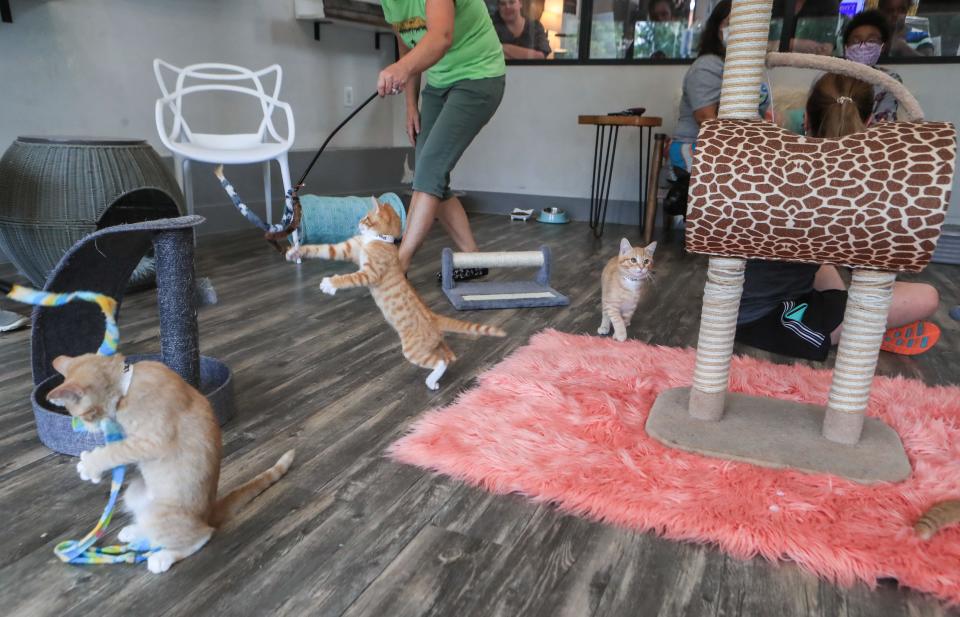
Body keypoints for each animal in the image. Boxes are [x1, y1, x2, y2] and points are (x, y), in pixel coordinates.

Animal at [47, 352, 294, 572]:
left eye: (84, 415)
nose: (87, 429)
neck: (127, 384)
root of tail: (208, 514)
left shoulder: (154, 440)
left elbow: (116, 451)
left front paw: (90, 464)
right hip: (135, 492)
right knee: (151, 528)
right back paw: (136, 531)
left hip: (164, 515)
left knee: (201, 536)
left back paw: (163, 557)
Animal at [286, 199, 506, 390]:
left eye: (366, 217)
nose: (358, 222)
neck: (376, 239)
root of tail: (433, 317)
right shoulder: (346, 249)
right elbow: (321, 249)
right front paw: (294, 252)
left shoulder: (369, 274)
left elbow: (348, 278)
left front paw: (330, 284)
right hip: (432, 344)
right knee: (449, 354)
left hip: (412, 350)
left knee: (440, 361)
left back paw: (432, 380)